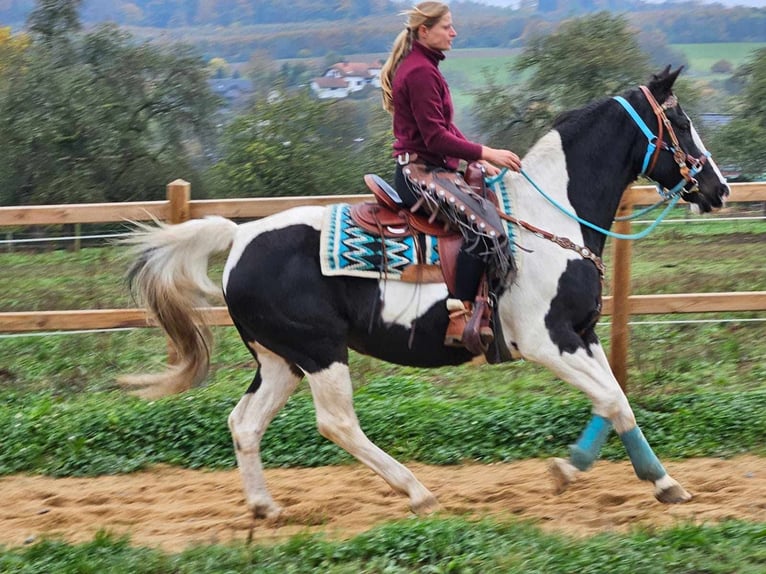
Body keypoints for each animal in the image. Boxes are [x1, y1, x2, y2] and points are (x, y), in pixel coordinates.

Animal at [123, 67, 728, 520]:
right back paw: (417, 491)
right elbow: (610, 399)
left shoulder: (583, 333)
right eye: (680, 121)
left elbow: (616, 399)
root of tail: (239, 237)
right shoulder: (548, 340)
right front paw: (569, 471)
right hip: (319, 352)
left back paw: (265, 507)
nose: (718, 189)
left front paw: (661, 482)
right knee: (336, 423)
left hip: (280, 360)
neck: (551, 217)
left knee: (245, 423)